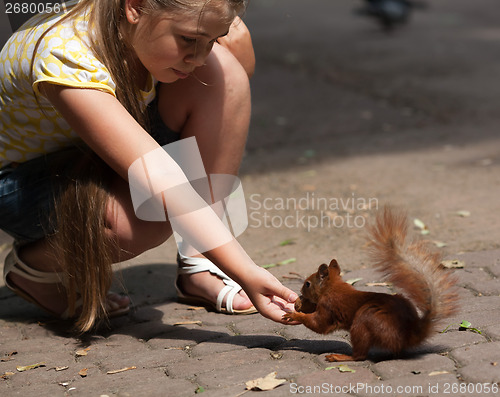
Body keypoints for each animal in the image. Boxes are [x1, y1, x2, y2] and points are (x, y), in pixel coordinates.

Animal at [284, 209, 458, 360]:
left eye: (307, 284)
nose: (300, 290)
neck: (332, 287)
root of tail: (410, 334)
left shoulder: (328, 305)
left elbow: (319, 324)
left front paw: (295, 314)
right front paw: (299, 304)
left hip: (364, 321)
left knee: (360, 356)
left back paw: (340, 357)